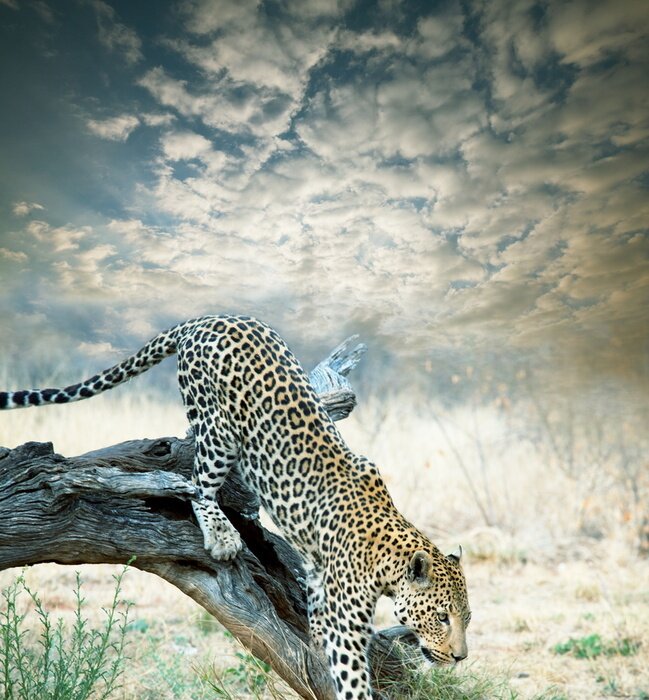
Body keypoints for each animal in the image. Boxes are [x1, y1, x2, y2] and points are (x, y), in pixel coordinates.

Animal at [0, 314, 470, 699]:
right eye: (443, 618)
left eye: (465, 616)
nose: (461, 657)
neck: (386, 556)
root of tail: (205, 318)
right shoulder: (347, 621)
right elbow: (350, 674)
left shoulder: (321, 574)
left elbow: (315, 604)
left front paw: (313, 629)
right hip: (217, 431)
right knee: (197, 483)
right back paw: (221, 533)